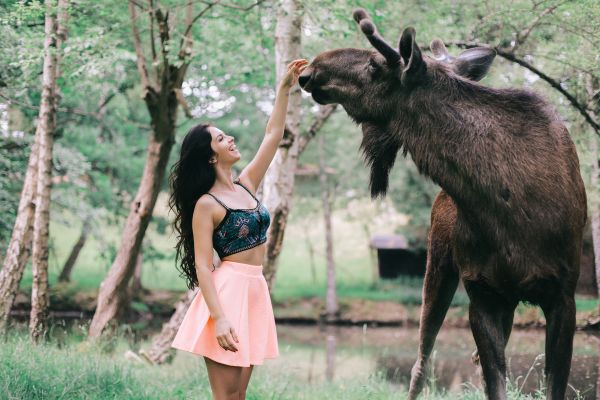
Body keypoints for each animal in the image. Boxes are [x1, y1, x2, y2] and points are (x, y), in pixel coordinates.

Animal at [300, 7, 584, 400]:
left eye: (374, 65)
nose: (312, 67)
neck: (510, 216)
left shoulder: (563, 295)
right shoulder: (482, 293)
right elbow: (494, 383)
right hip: (439, 264)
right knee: (421, 363)